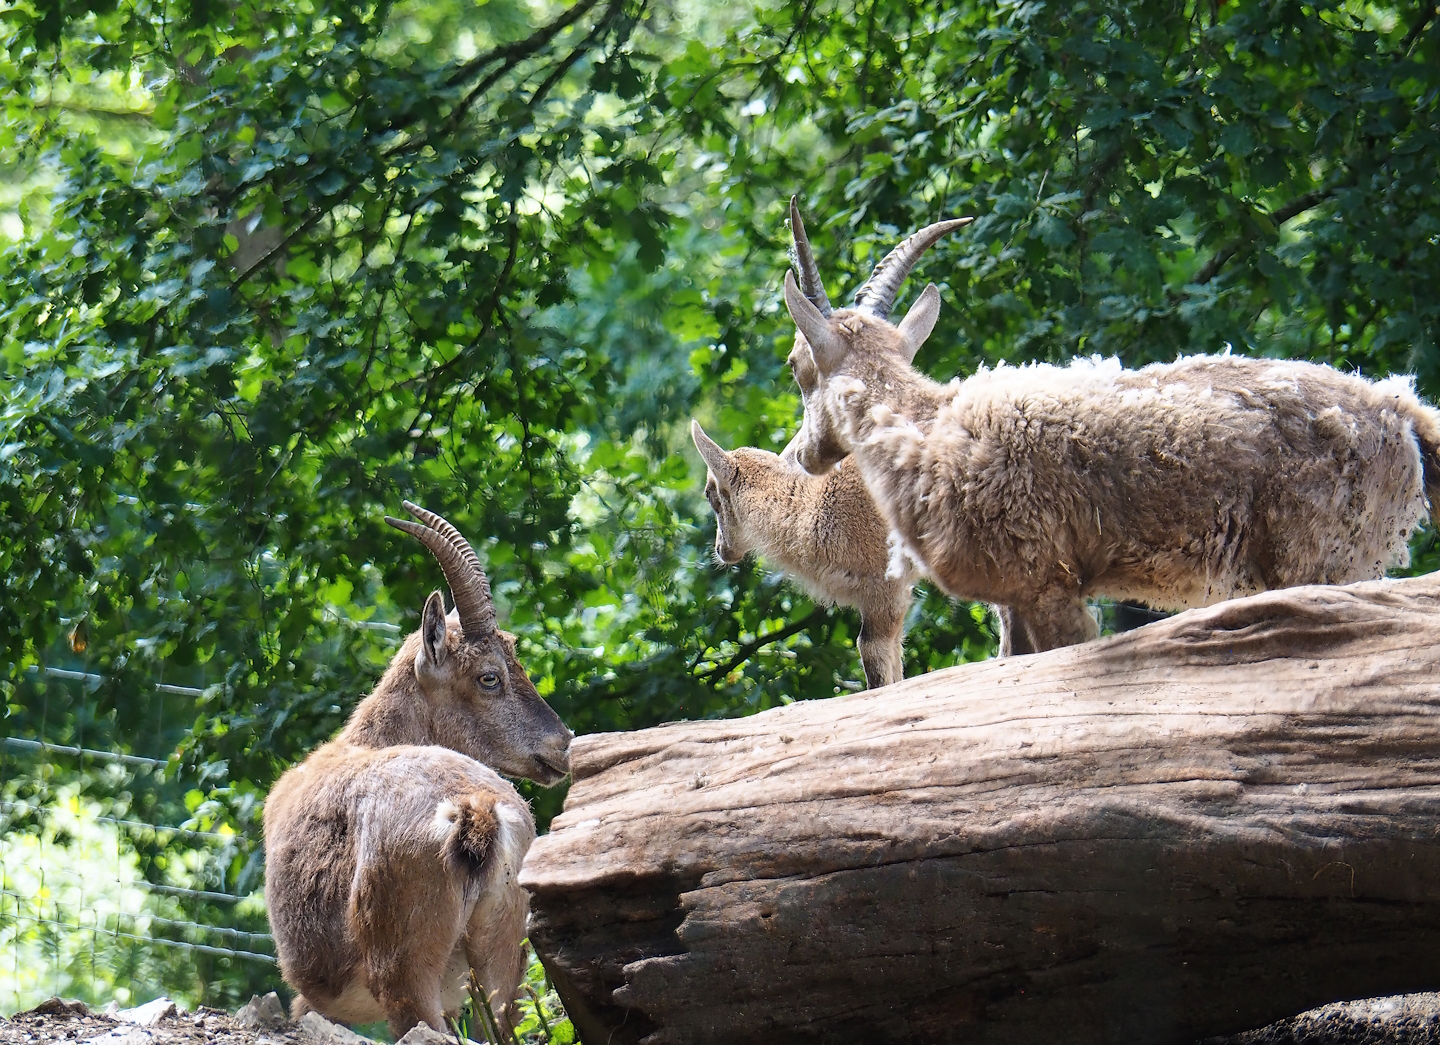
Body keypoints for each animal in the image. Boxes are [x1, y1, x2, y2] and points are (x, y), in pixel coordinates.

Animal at [264, 502, 573, 1038]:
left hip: (404, 964)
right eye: (490, 676)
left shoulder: (315, 1002)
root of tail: (475, 813)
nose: (563, 744)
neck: (361, 741)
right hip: (503, 963)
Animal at [780, 200, 1440, 655]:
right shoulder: (1012, 601)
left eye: (796, 365)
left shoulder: (1051, 583)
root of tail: (1404, 413)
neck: (927, 429)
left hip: (1324, 557)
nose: (799, 454)